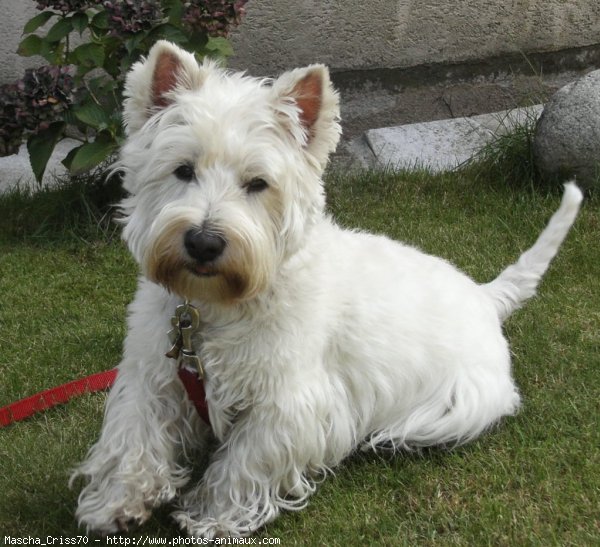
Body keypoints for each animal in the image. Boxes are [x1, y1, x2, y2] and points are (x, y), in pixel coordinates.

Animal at [72, 40, 584, 536]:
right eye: (183, 170)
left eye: (258, 183)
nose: (203, 242)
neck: (217, 308)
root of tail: (485, 296)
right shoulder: (154, 374)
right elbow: (133, 435)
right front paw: (116, 504)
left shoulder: (287, 400)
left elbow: (245, 459)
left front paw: (211, 515)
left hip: (455, 402)